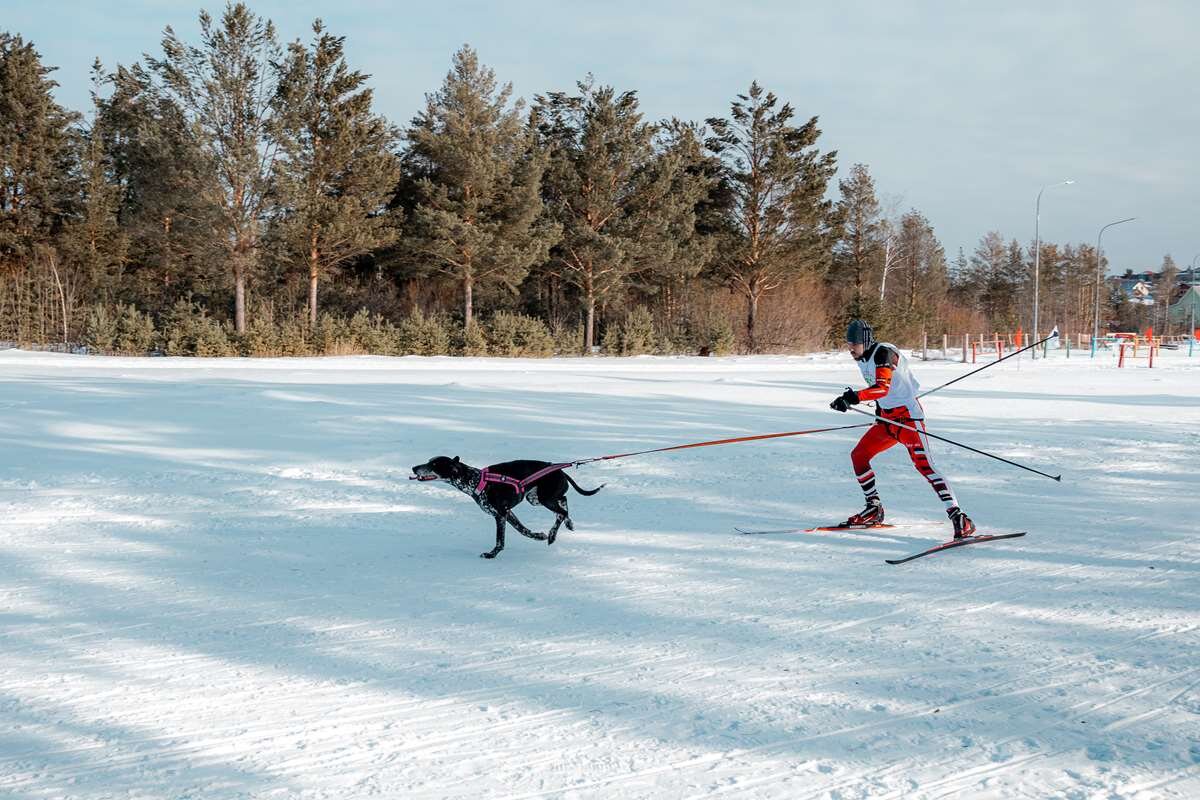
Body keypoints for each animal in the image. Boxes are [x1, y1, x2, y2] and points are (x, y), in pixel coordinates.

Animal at [412, 455, 604, 556]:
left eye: (433, 464)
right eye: (429, 461)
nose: (414, 468)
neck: (477, 481)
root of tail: (561, 470)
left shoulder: (500, 514)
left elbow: (500, 540)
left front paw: (491, 554)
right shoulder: (508, 513)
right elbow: (522, 530)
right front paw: (538, 536)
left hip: (544, 498)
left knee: (561, 511)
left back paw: (552, 534)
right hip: (535, 498)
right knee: (564, 502)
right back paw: (566, 525)